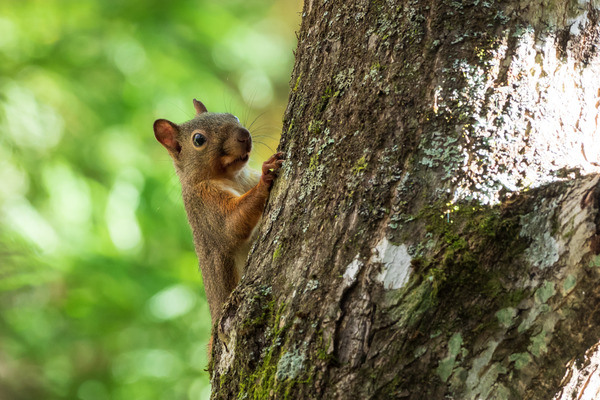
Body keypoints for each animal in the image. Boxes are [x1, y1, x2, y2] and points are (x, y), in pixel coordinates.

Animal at [155, 97, 286, 338]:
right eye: (198, 139)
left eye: (232, 116)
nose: (244, 135)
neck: (235, 177)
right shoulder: (205, 207)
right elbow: (231, 226)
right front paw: (265, 177)